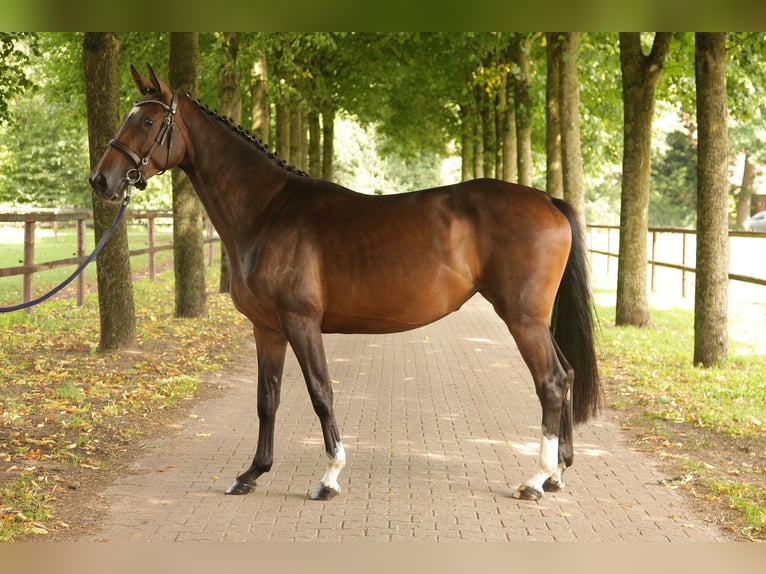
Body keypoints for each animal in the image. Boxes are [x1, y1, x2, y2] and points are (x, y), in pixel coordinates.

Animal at [89, 65, 600, 502]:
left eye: (149, 119)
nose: (101, 179)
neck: (266, 210)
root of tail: (548, 201)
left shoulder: (301, 322)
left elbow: (320, 393)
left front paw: (330, 477)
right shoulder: (267, 328)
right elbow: (267, 399)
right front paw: (252, 473)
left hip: (522, 318)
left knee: (552, 382)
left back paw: (534, 480)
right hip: (533, 320)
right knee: (568, 373)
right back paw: (556, 473)